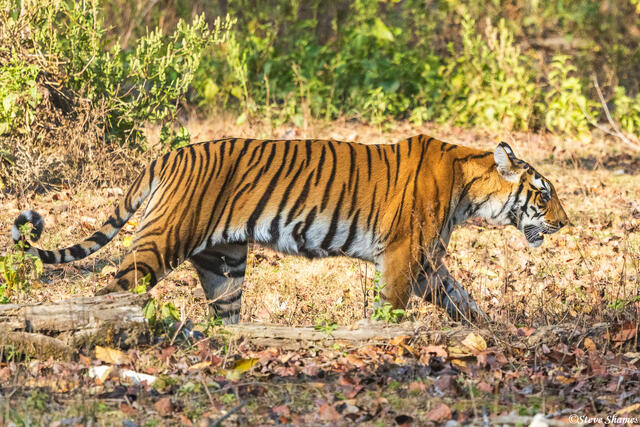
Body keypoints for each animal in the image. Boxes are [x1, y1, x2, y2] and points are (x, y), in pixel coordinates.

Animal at [11, 135, 569, 323]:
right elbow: (391, 308)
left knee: (225, 315)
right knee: (115, 288)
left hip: (224, 262)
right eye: (543, 194)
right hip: (160, 241)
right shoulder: (404, 256)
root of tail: (168, 155)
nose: (565, 222)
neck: (469, 188)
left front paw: (493, 333)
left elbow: (463, 301)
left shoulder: (428, 262)